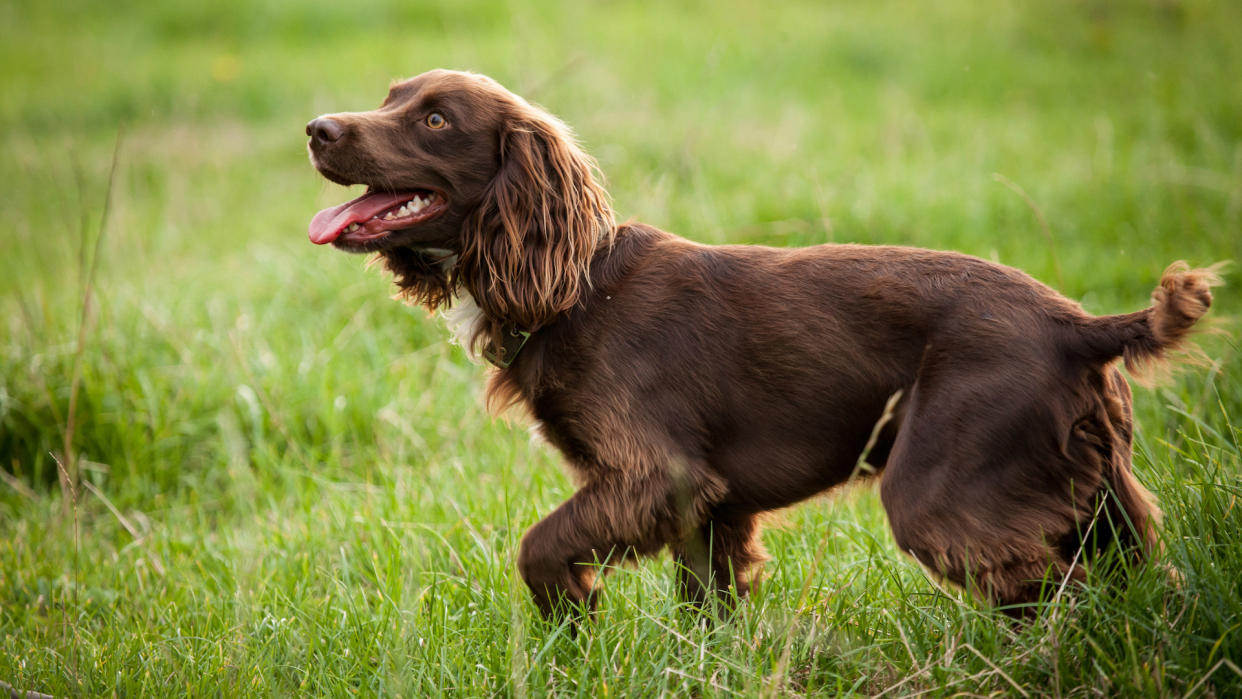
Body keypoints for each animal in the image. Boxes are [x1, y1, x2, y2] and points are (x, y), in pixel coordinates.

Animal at [305, 69, 1217, 618]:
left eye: (433, 118)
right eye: (391, 95)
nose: (316, 128)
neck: (576, 288)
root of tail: (1078, 326)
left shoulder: (655, 475)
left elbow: (538, 546)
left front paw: (576, 619)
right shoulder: (708, 507)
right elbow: (705, 605)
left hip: (944, 491)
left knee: (1057, 594)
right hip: (1100, 494)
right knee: (1138, 580)